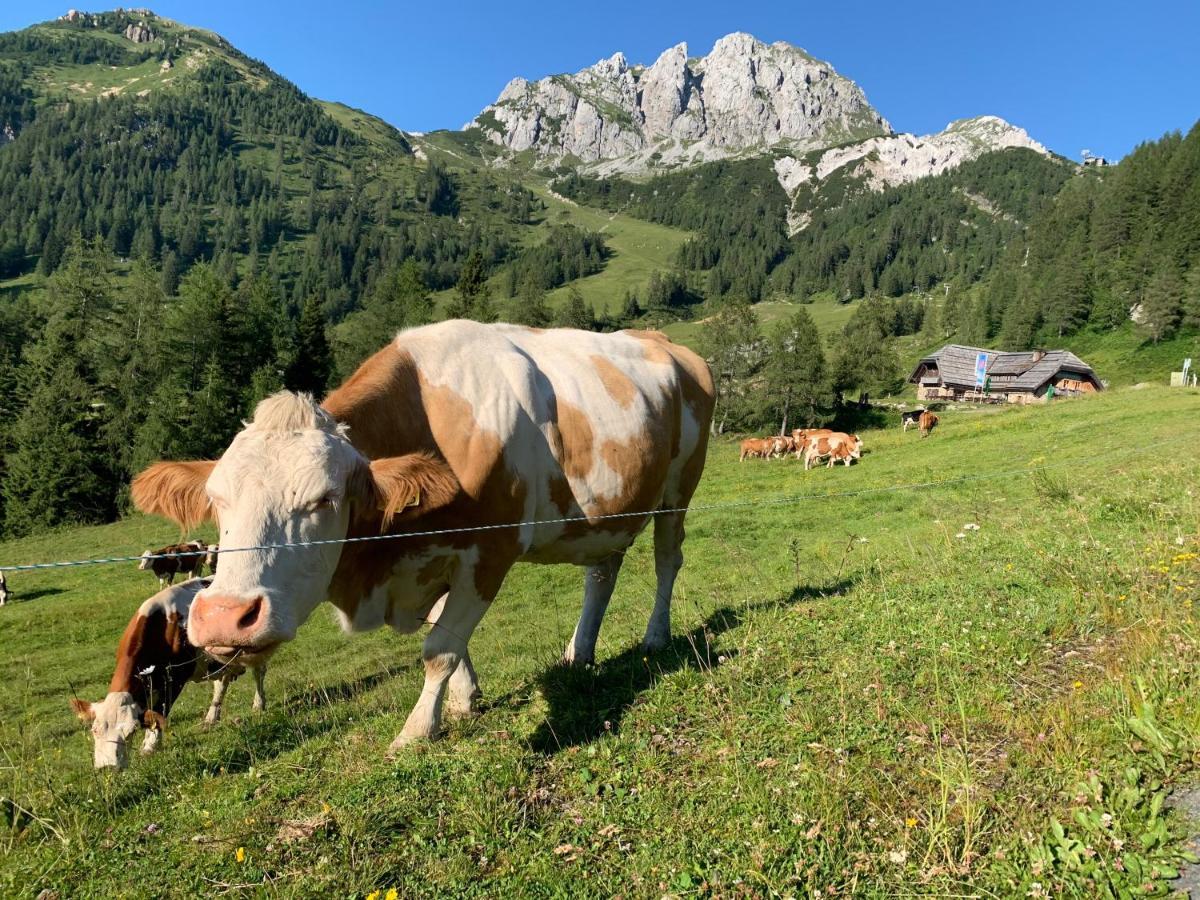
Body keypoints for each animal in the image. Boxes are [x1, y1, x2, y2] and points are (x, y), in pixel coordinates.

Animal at [70, 580, 272, 772]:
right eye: (94, 730)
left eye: (131, 732)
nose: (108, 767)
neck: (160, 626)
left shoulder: (174, 680)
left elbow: (161, 711)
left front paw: (150, 746)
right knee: (222, 683)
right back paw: (211, 717)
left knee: (259, 674)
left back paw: (258, 704)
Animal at [131, 321, 710, 758]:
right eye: (217, 500)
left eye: (324, 499)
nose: (224, 618)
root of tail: (664, 340)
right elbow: (446, 634)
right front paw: (463, 701)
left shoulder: (489, 553)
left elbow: (439, 649)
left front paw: (416, 731)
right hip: (609, 513)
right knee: (602, 573)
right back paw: (580, 651)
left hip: (678, 488)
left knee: (667, 560)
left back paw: (656, 635)